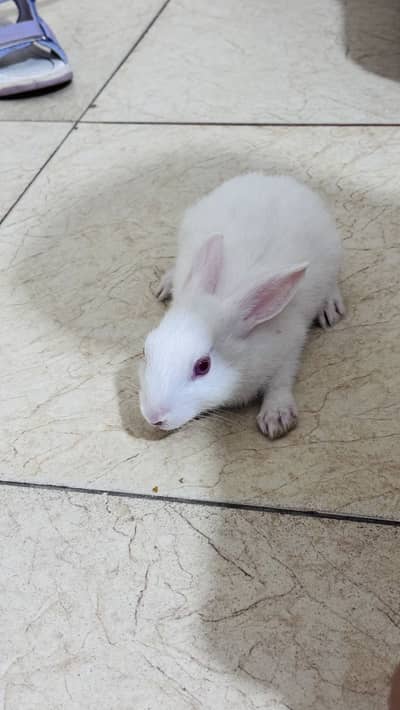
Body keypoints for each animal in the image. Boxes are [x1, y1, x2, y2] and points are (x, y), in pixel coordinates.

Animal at [139, 173, 344, 439]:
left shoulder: (289, 348)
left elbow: (280, 382)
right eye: (146, 350)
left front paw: (276, 419)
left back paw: (330, 308)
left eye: (203, 366)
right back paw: (166, 285)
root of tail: (276, 180)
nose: (154, 417)